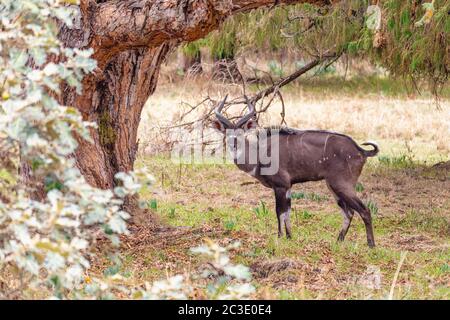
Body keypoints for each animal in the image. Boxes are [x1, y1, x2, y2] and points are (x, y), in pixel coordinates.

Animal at [213, 95, 378, 248]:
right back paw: (338, 241)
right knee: (349, 212)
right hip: (333, 186)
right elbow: (288, 211)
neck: (259, 153)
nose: (233, 143)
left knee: (364, 210)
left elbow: (279, 211)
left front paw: (279, 238)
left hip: (341, 184)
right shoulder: (288, 186)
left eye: (241, 133)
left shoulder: (280, 185)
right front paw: (289, 236)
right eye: (226, 133)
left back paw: (371, 245)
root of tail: (361, 151)